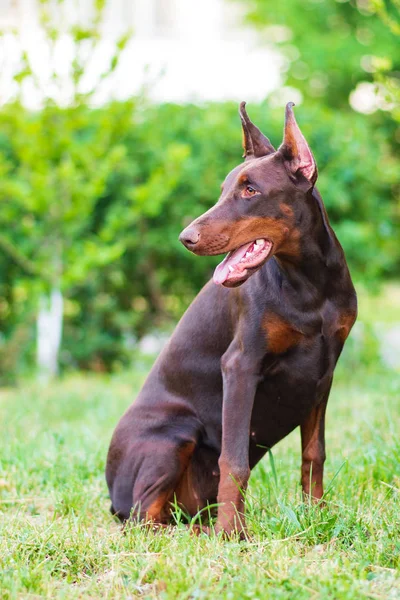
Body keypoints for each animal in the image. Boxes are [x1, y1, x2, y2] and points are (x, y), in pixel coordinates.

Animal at [105, 101, 356, 536]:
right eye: (223, 190)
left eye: (250, 190)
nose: (185, 238)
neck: (309, 284)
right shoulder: (241, 364)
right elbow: (233, 461)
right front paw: (232, 535)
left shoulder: (324, 373)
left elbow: (314, 452)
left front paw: (314, 516)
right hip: (174, 434)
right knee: (143, 519)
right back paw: (203, 531)